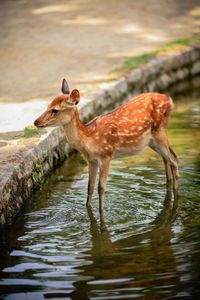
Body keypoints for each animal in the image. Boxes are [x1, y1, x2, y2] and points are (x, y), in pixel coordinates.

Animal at [34, 78, 178, 212]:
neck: (88, 139)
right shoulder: (91, 160)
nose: (36, 122)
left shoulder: (106, 154)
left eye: (55, 110)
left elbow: (101, 187)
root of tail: (169, 100)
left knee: (174, 160)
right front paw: (87, 208)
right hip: (152, 140)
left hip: (159, 131)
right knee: (167, 159)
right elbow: (90, 187)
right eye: (48, 105)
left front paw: (101, 211)